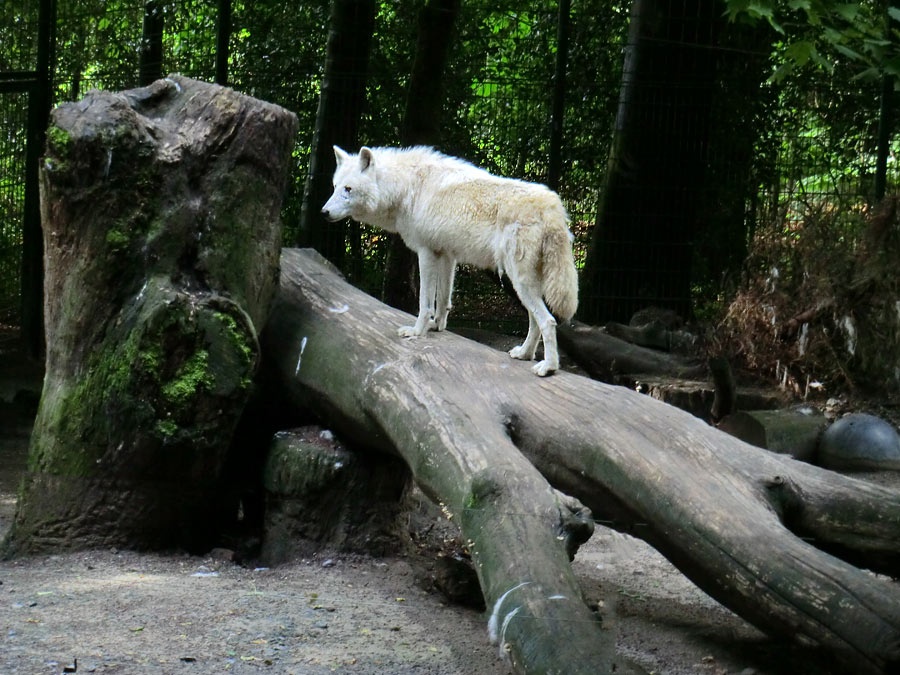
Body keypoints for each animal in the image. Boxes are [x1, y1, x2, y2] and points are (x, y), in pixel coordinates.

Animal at [320, 146, 580, 378]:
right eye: (334, 187)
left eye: (348, 189)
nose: (323, 212)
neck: (407, 189)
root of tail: (554, 208)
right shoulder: (446, 255)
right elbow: (443, 300)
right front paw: (437, 326)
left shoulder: (425, 253)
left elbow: (425, 302)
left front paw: (417, 331)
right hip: (524, 284)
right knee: (535, 320)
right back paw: (525, 354)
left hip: (519, 281)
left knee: (548, 321)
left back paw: (548, 368)